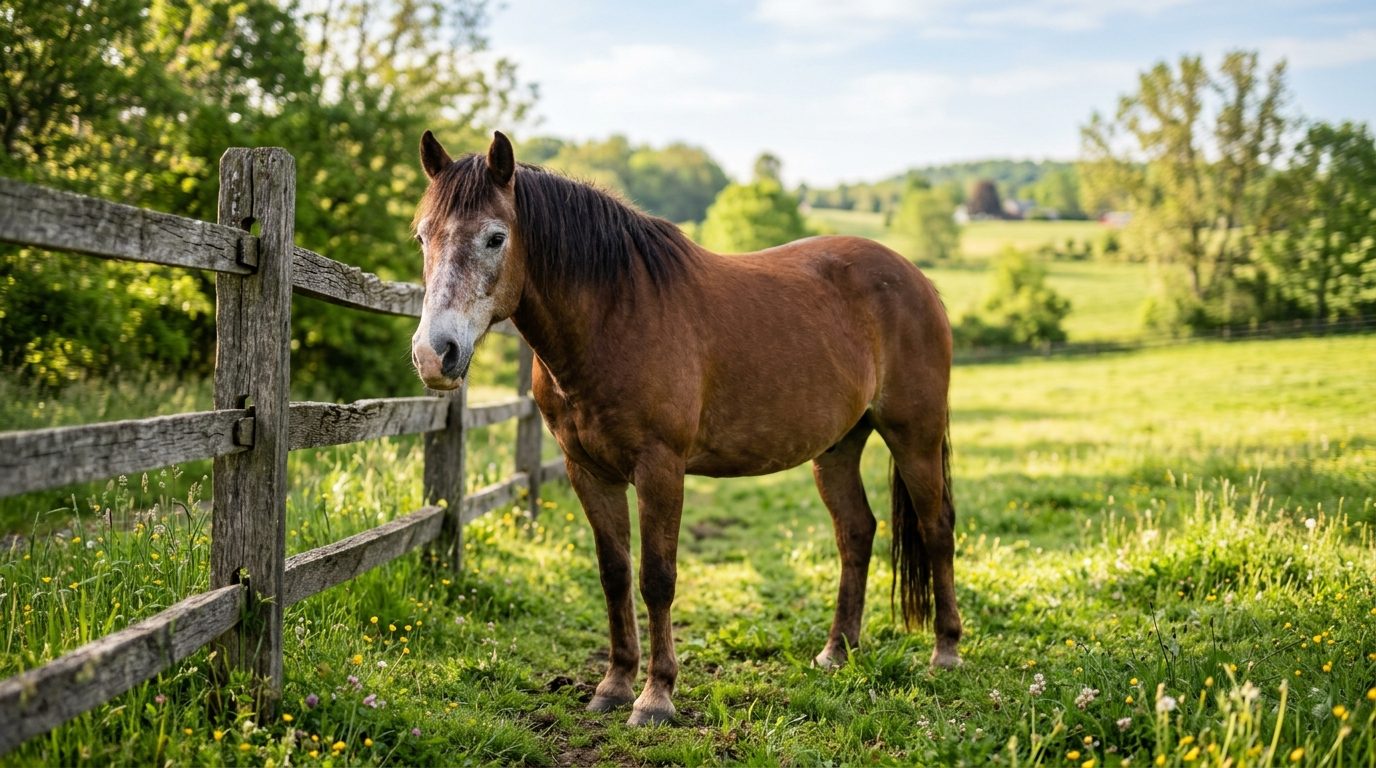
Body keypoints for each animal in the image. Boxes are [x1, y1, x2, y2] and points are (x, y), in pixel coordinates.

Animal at [409, 131, 961, 726]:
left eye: (495, 238)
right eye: (422, 236)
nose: (435, 354)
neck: (615, 314)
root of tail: (916, 278)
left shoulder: (660, 469)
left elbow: (657, 577)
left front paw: (656, 697)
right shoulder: (589, 471)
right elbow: (614, 573)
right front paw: (614, 685)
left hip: (914, 436)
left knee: (937, 528)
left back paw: (946, 652)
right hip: (838, 447)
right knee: (856, 531)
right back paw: (837, 651)